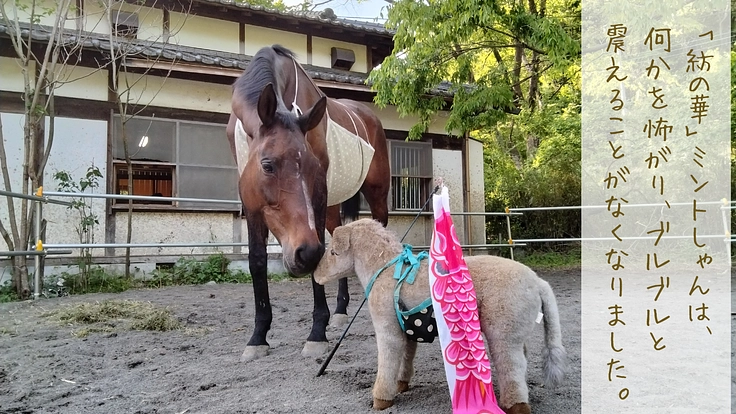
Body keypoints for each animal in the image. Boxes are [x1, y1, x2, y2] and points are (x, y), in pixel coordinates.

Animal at [227, 45, 392, 360]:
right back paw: (340, 310)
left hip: (377, 193)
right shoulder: (250, 199)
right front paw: (258, 336)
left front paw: (317, 333)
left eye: (315, 168)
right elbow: (257, 261)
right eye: (267, 165)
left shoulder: (319, 192)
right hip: (334, 208)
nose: (303, 253)